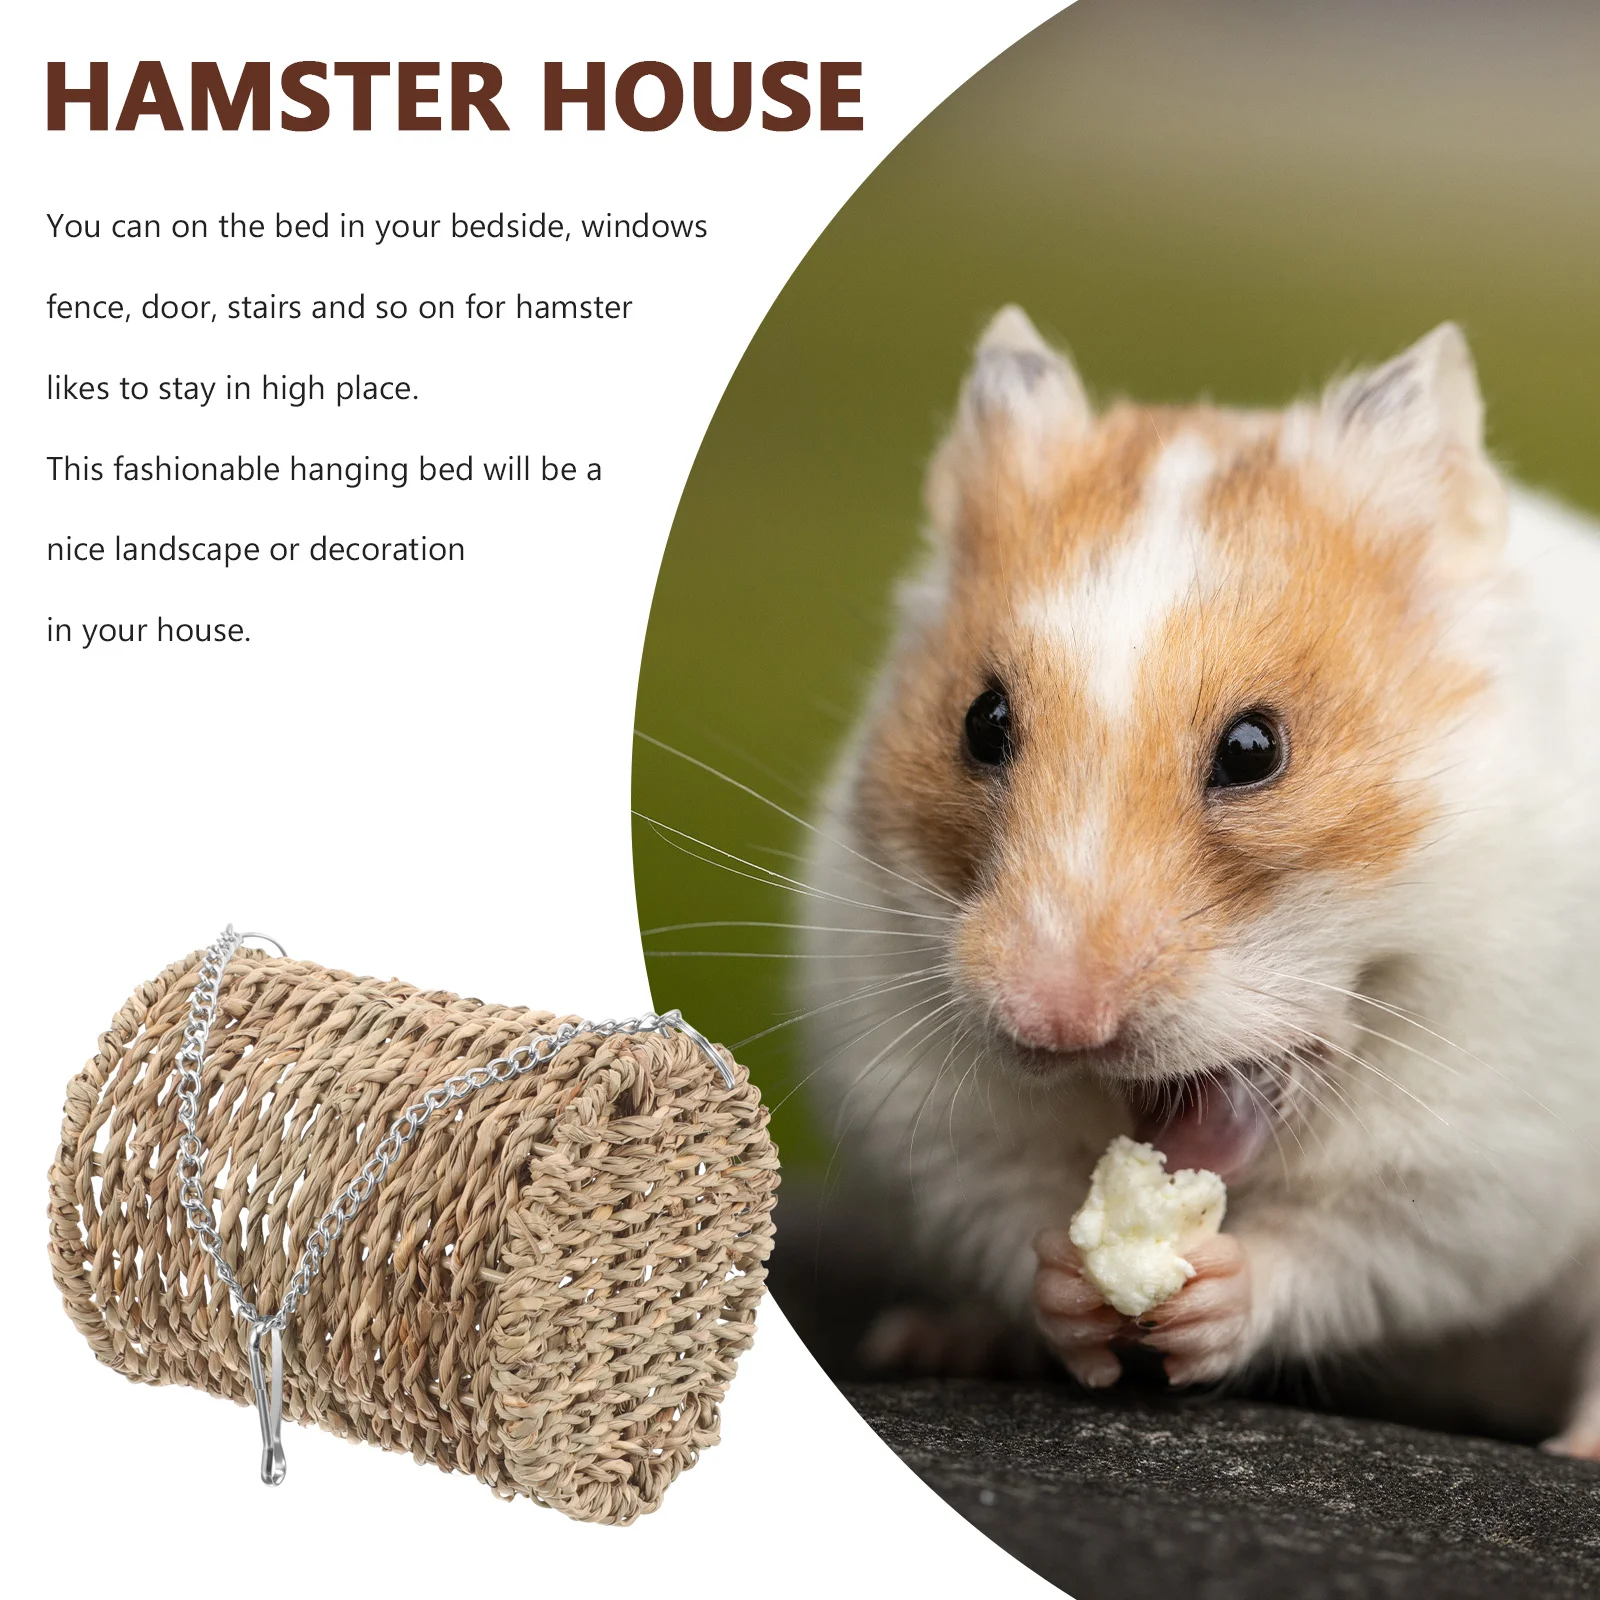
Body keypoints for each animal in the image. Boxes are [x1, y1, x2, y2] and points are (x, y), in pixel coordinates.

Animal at [800, 307, 1600, 1453]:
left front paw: (1205, 1286)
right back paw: (932, 1339)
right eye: (980, 723)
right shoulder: (926, 1105)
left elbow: (1347, 1252)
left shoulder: (1479, 1158)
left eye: (1255, 749)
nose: (1055, 1022)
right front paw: (1075, 1284)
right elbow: (1008, 1211)